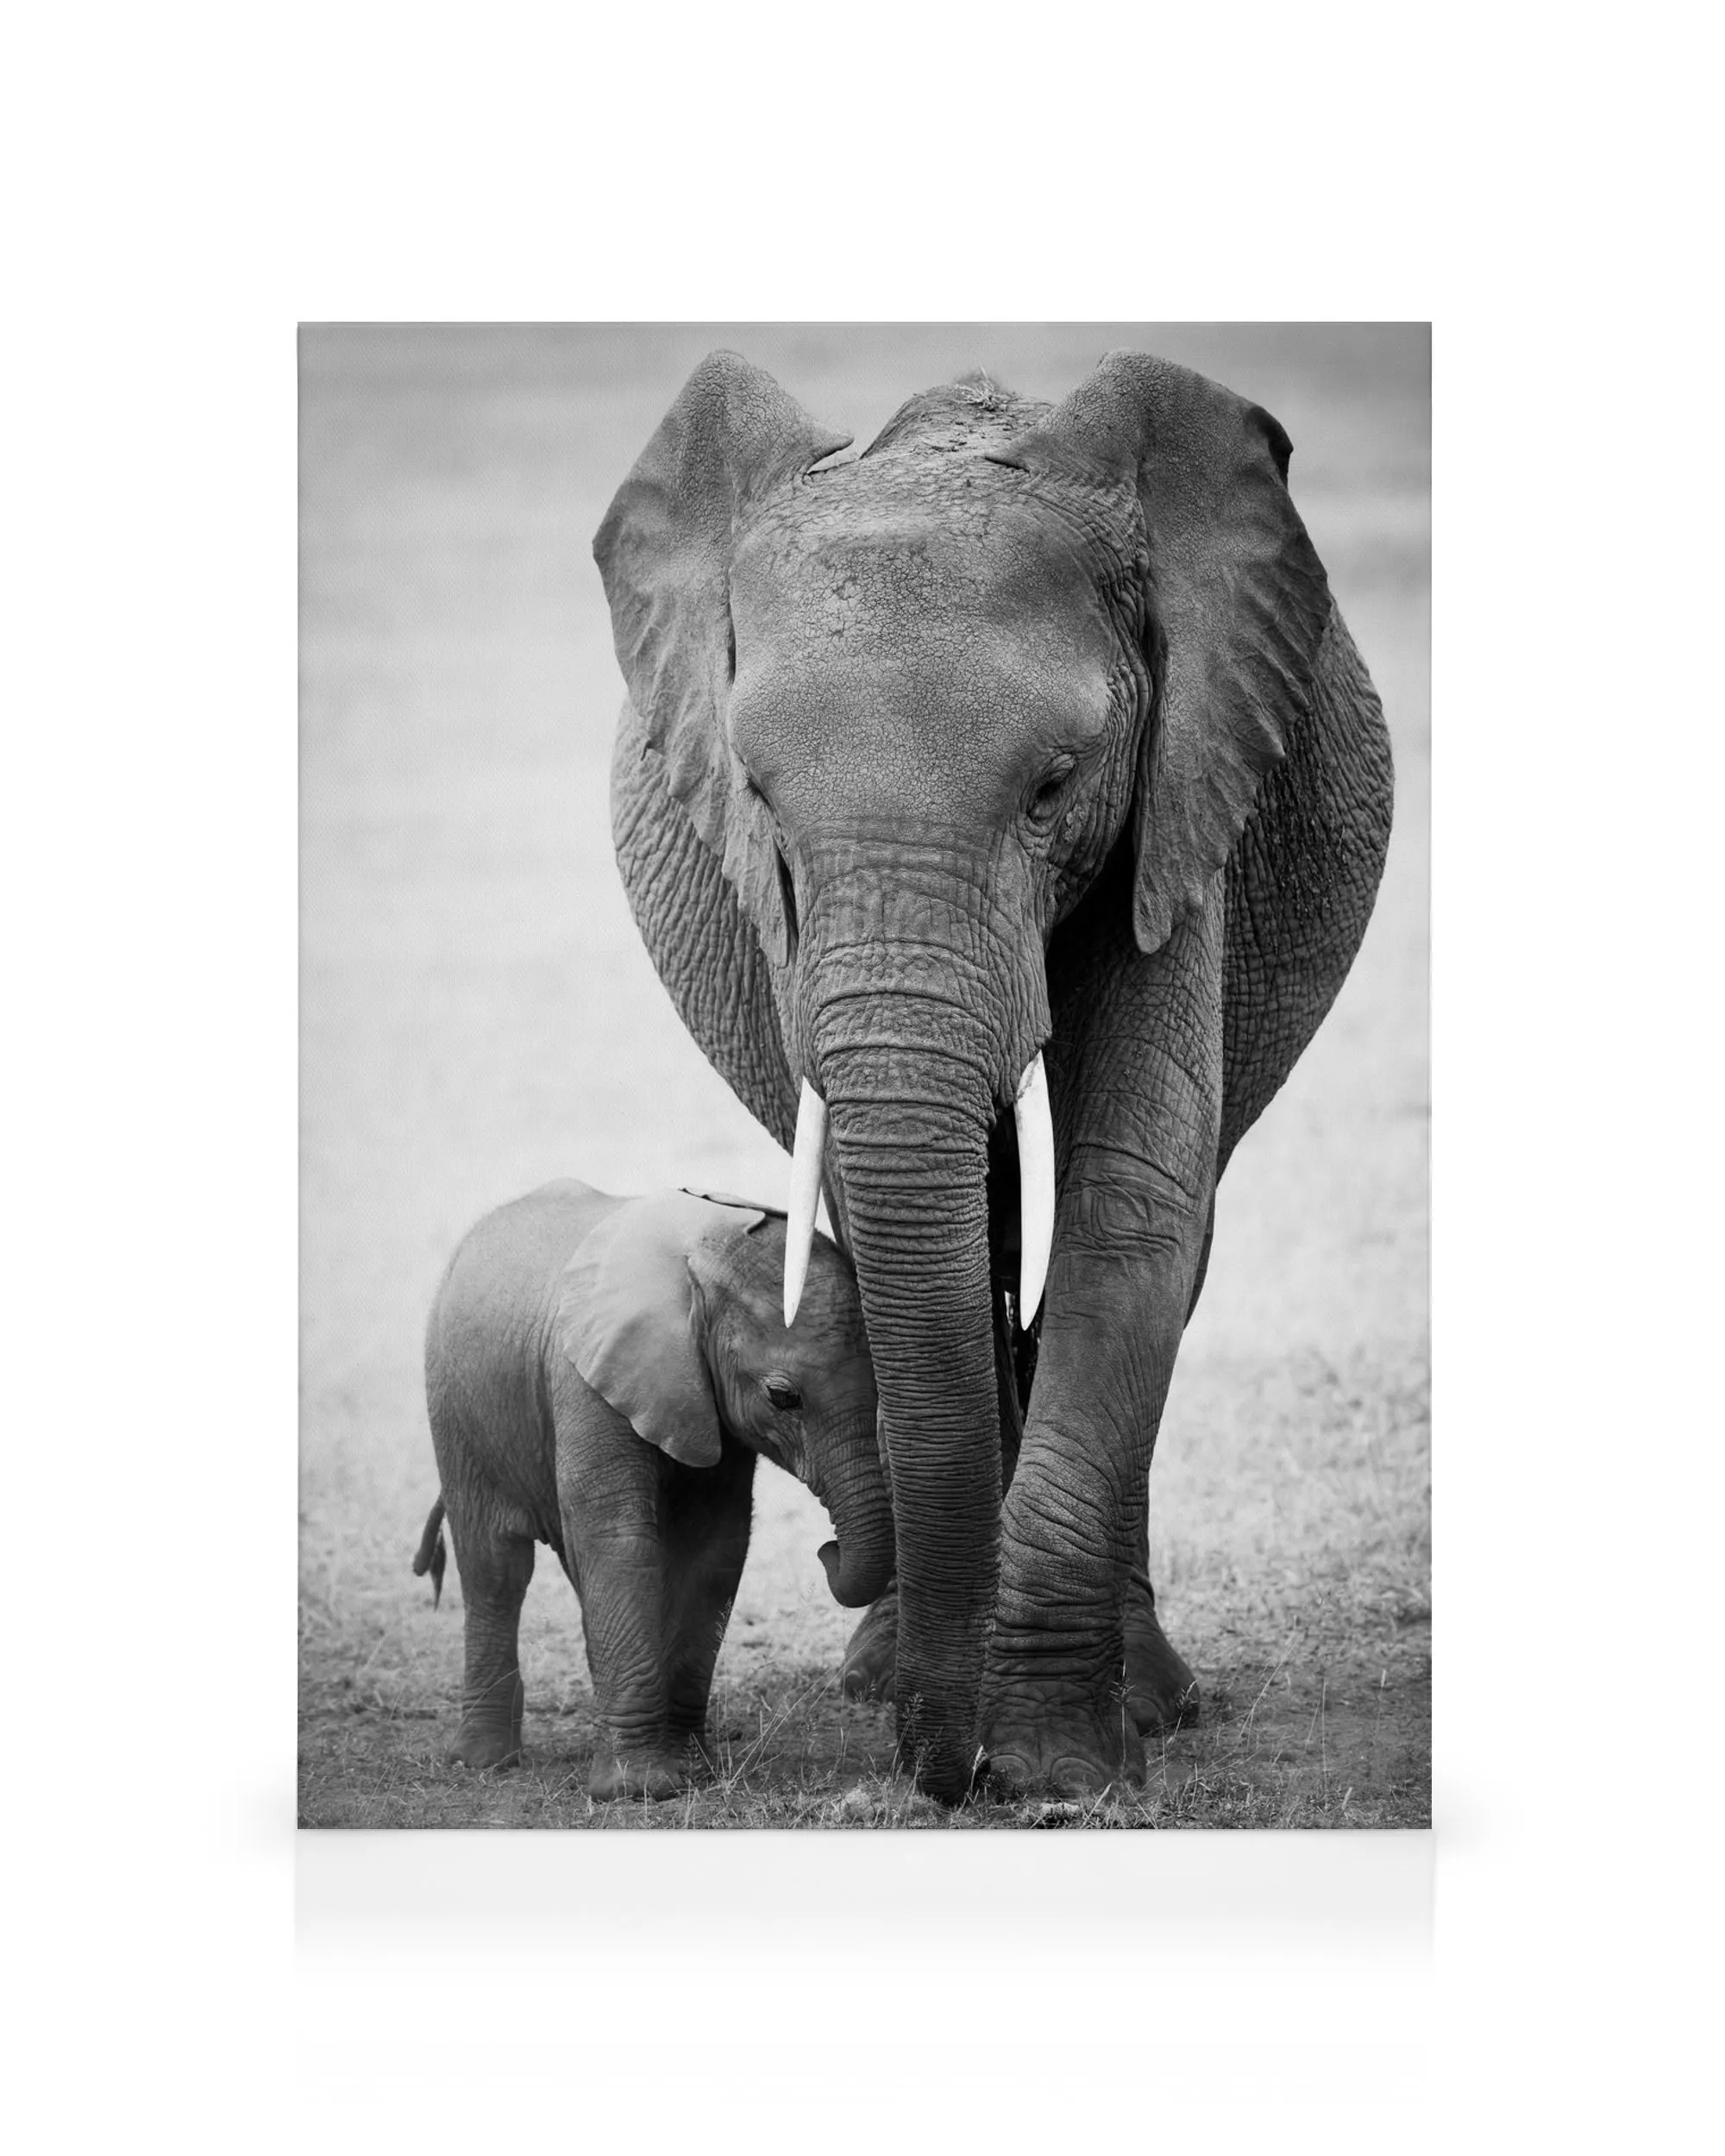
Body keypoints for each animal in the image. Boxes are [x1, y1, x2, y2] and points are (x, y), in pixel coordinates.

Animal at [414, 1180, 890, 1799]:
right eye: (783, 1398)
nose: (827, 1550)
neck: (701, 1258)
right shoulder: (588, 1381)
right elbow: (621, 1541)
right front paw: (638, 1791)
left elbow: (714, 1550)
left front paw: (692, 1770)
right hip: (456, 1412)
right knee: (495, 1567)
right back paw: (485, 1761)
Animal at [593, 348, 1394, 1804]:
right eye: (758, 797)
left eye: (1055, 786)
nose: (943, 1774)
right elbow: (911, 1222)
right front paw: (972, 1729)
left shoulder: (1182, 796)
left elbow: (1131, 1203)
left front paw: (1056, 1769)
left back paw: (1145, 1701)